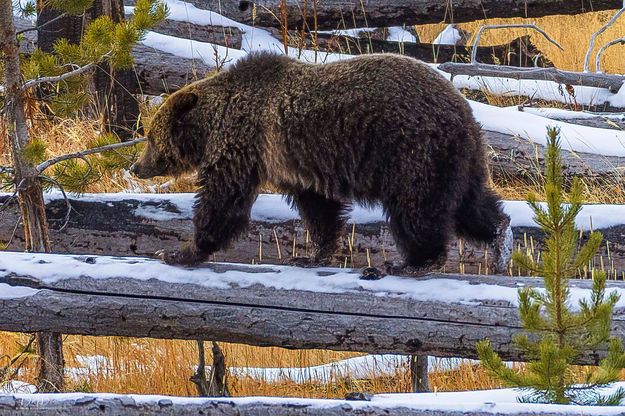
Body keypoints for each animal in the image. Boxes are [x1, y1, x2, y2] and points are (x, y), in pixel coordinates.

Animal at [130, 51, 508, 272]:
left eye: (149, 136)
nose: (136, 167)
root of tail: (464, 112)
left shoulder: (242, 143)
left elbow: (223, 201)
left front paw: (181, 251)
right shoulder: (295, 164)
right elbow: (320, 208)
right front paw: (312, 254)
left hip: (412, 151)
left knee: (417, 208)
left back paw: (410, 262)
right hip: (461, 159)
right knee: (472, 205)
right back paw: (500, 238)